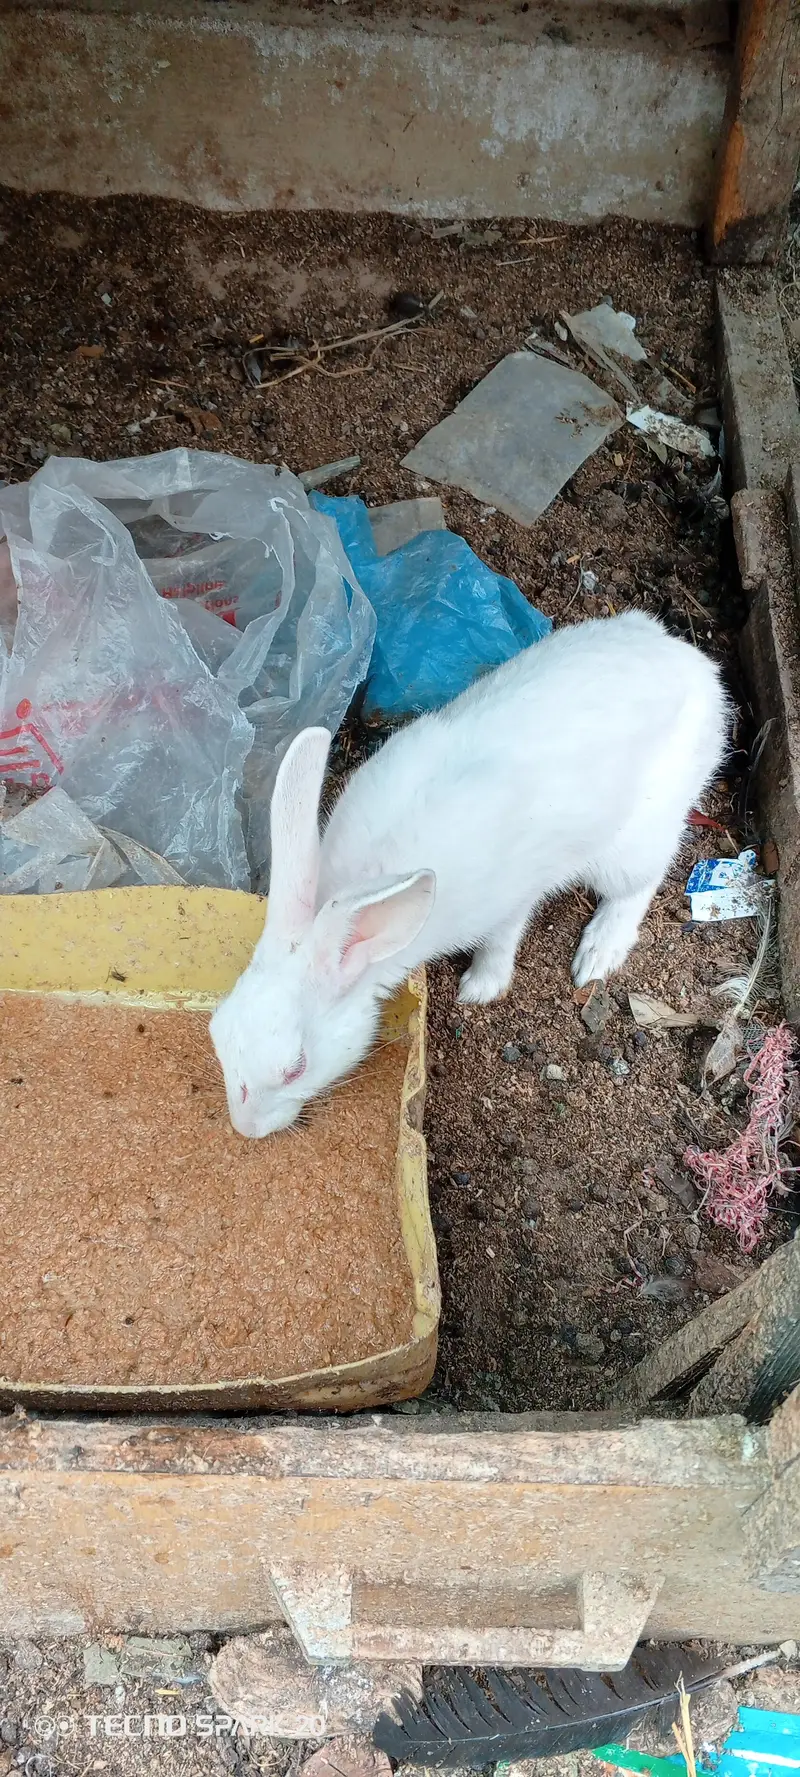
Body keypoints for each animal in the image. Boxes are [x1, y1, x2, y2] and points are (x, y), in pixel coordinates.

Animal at [210, 611, 728, 1137]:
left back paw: (599, 953)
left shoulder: (509, 901)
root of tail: (696, 666)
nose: (245, 1128)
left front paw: (481, 988)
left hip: (629, 847)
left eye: (296, 1067)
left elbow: (501, 942)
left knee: (640, 885)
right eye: (217, 1027)